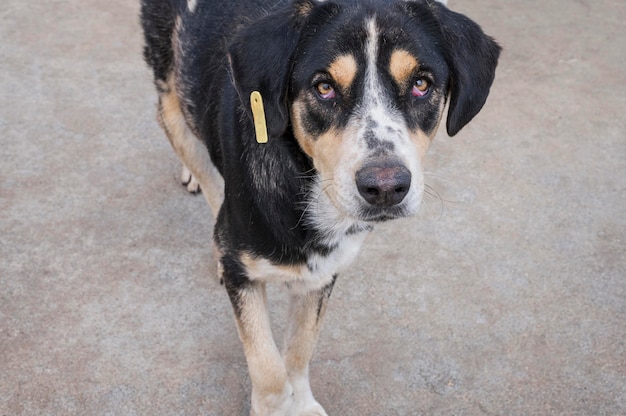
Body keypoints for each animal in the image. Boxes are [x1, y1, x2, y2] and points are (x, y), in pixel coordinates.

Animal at [140, 0, 498, 412]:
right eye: (324, 87)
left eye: (421, 84)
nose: (385, 188)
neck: (306, 187)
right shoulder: (244, 274)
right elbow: (267, 366)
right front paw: (273, 408)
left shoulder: (324, 272)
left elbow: (299, 349)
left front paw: (301, 404)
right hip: (172, 93)